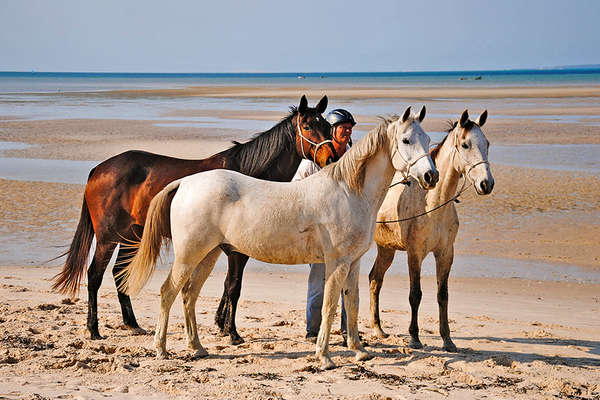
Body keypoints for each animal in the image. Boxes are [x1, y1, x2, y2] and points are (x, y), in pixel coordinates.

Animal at [51, 95, 336, 340]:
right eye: (307, 126)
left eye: (326, 126)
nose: (331, 157)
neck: (248, 175)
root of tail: (100, 168)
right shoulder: (237, 251)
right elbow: (234, 287)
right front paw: (232, 333)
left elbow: (228, 285)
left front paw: (222, 326)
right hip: (108, 239)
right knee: (94, 276)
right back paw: (94, 329)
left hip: (132, 236)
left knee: (119, 273)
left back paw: (132, 324)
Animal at [118, 105, 436, 368]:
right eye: (406, 140)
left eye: (428, 139)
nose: (431, 177)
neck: (348, 191)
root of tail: (184, 183)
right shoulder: (336, 263)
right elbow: (330, 306)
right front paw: (324, 357)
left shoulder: (352, 263)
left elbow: (352, 303)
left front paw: (359, 350)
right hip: (188, 255)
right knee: (168, 292)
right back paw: (161, 349)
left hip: (207, 255)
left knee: (188, 295)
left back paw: (197, 348)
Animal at [370, 108, 492, 350]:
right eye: (465, 145)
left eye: (487, 144)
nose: (486, 184)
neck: (433, 205)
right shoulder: (415, 254)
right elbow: (415, 294)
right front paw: (415, 337)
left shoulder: (445, 254)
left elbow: (442, 295)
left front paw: (448, 340)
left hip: (386, 250)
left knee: (374, 279)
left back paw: (378, 329)